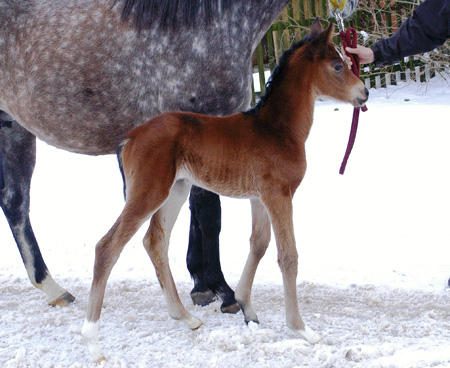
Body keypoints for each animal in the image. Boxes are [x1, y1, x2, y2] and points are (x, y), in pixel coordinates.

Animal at [0, 0, 288, 310]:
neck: (207, 22)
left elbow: (197, 214)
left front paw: (201, 286)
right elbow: (210, 216)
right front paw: (223, 291)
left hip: (13, 128)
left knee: (15, 203)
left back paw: (53, 288)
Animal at [81, 21, 370, 360]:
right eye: (337, 66)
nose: (364, 92)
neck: (277, 130)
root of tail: (130, 137)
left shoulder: (260, 197)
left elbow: (259, 244)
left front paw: (246, 306)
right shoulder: (279, 194)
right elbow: (288, 256)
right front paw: (301, 329)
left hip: (176, 190)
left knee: (155, 241)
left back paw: (186, 317)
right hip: (149, 192)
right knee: (107, 246)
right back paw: (91, 341)